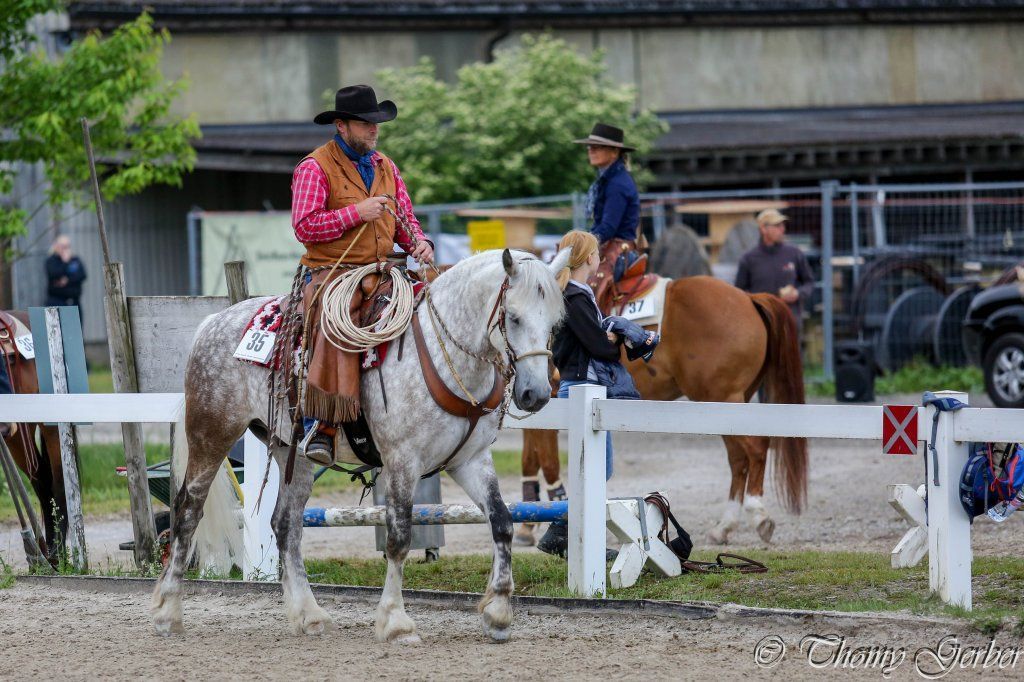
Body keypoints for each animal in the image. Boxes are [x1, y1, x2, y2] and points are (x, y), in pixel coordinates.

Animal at [1, 310, 66, 562]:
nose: (4, 427)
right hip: (18, 437)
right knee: (41, 480)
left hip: (48, 428)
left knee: (58, 482)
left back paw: (57, 553)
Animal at [151, 248, 569, 642]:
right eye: (513, 317)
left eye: (554, 323)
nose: (536, 394)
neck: (442, 355)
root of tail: (212, 322)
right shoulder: (402, 461)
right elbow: (399, 538)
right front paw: (396, 622)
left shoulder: (471, 460)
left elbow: (502, 521)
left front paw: (497, 614)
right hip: (212, 433)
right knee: (187, 511)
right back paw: (167, 611)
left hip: (292, 454)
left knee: (285, 525)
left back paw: (309, 614)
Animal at [519, 276, 808, 546]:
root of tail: (748, 297)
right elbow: (530, 459)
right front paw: (527, 526)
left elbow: (548, 462)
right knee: (738, 459)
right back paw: (724, 526)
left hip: (725, 399)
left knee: (756, 447)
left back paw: (758, 514)